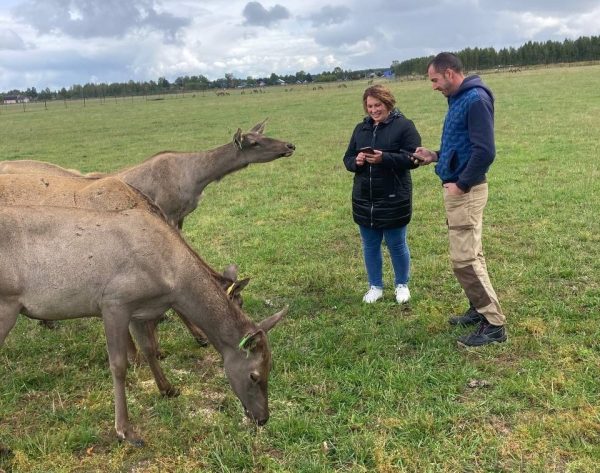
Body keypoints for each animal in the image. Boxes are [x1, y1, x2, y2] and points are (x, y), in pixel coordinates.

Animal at [0, 205, 288, 444]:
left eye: (271, 366)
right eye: (254, 375)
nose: (263, 418)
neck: (173, 281)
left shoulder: (140, 311)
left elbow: (149, 348)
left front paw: (168, 388)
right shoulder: (114, 301)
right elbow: (119, 365)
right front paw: (125, 430)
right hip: (7, 303)